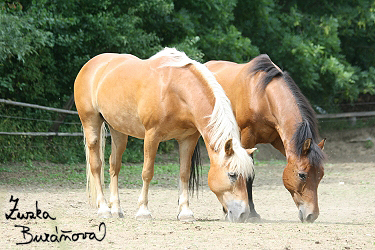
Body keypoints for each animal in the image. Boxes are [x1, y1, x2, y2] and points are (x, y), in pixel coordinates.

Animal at [74, 48, 256, 223]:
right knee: (96, 165)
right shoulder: (152, 136)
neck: (176, 90)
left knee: (114, 166)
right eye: (232, 175)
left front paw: (185, 212)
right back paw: (104, 209)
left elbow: (184, 173)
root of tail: (92, 64)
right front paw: (143, 211)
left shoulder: (188, 139)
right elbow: (147, 172)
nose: (243, 214)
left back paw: (116, 209)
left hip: (118, 130)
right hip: (91, 124)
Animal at [206, 54, 326, 223]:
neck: (263, 96)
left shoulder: (281, 141)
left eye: (321, 175)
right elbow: (248, 174)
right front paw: (252, 213)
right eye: (302, 175)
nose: (312, 215)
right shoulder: (247, 138)